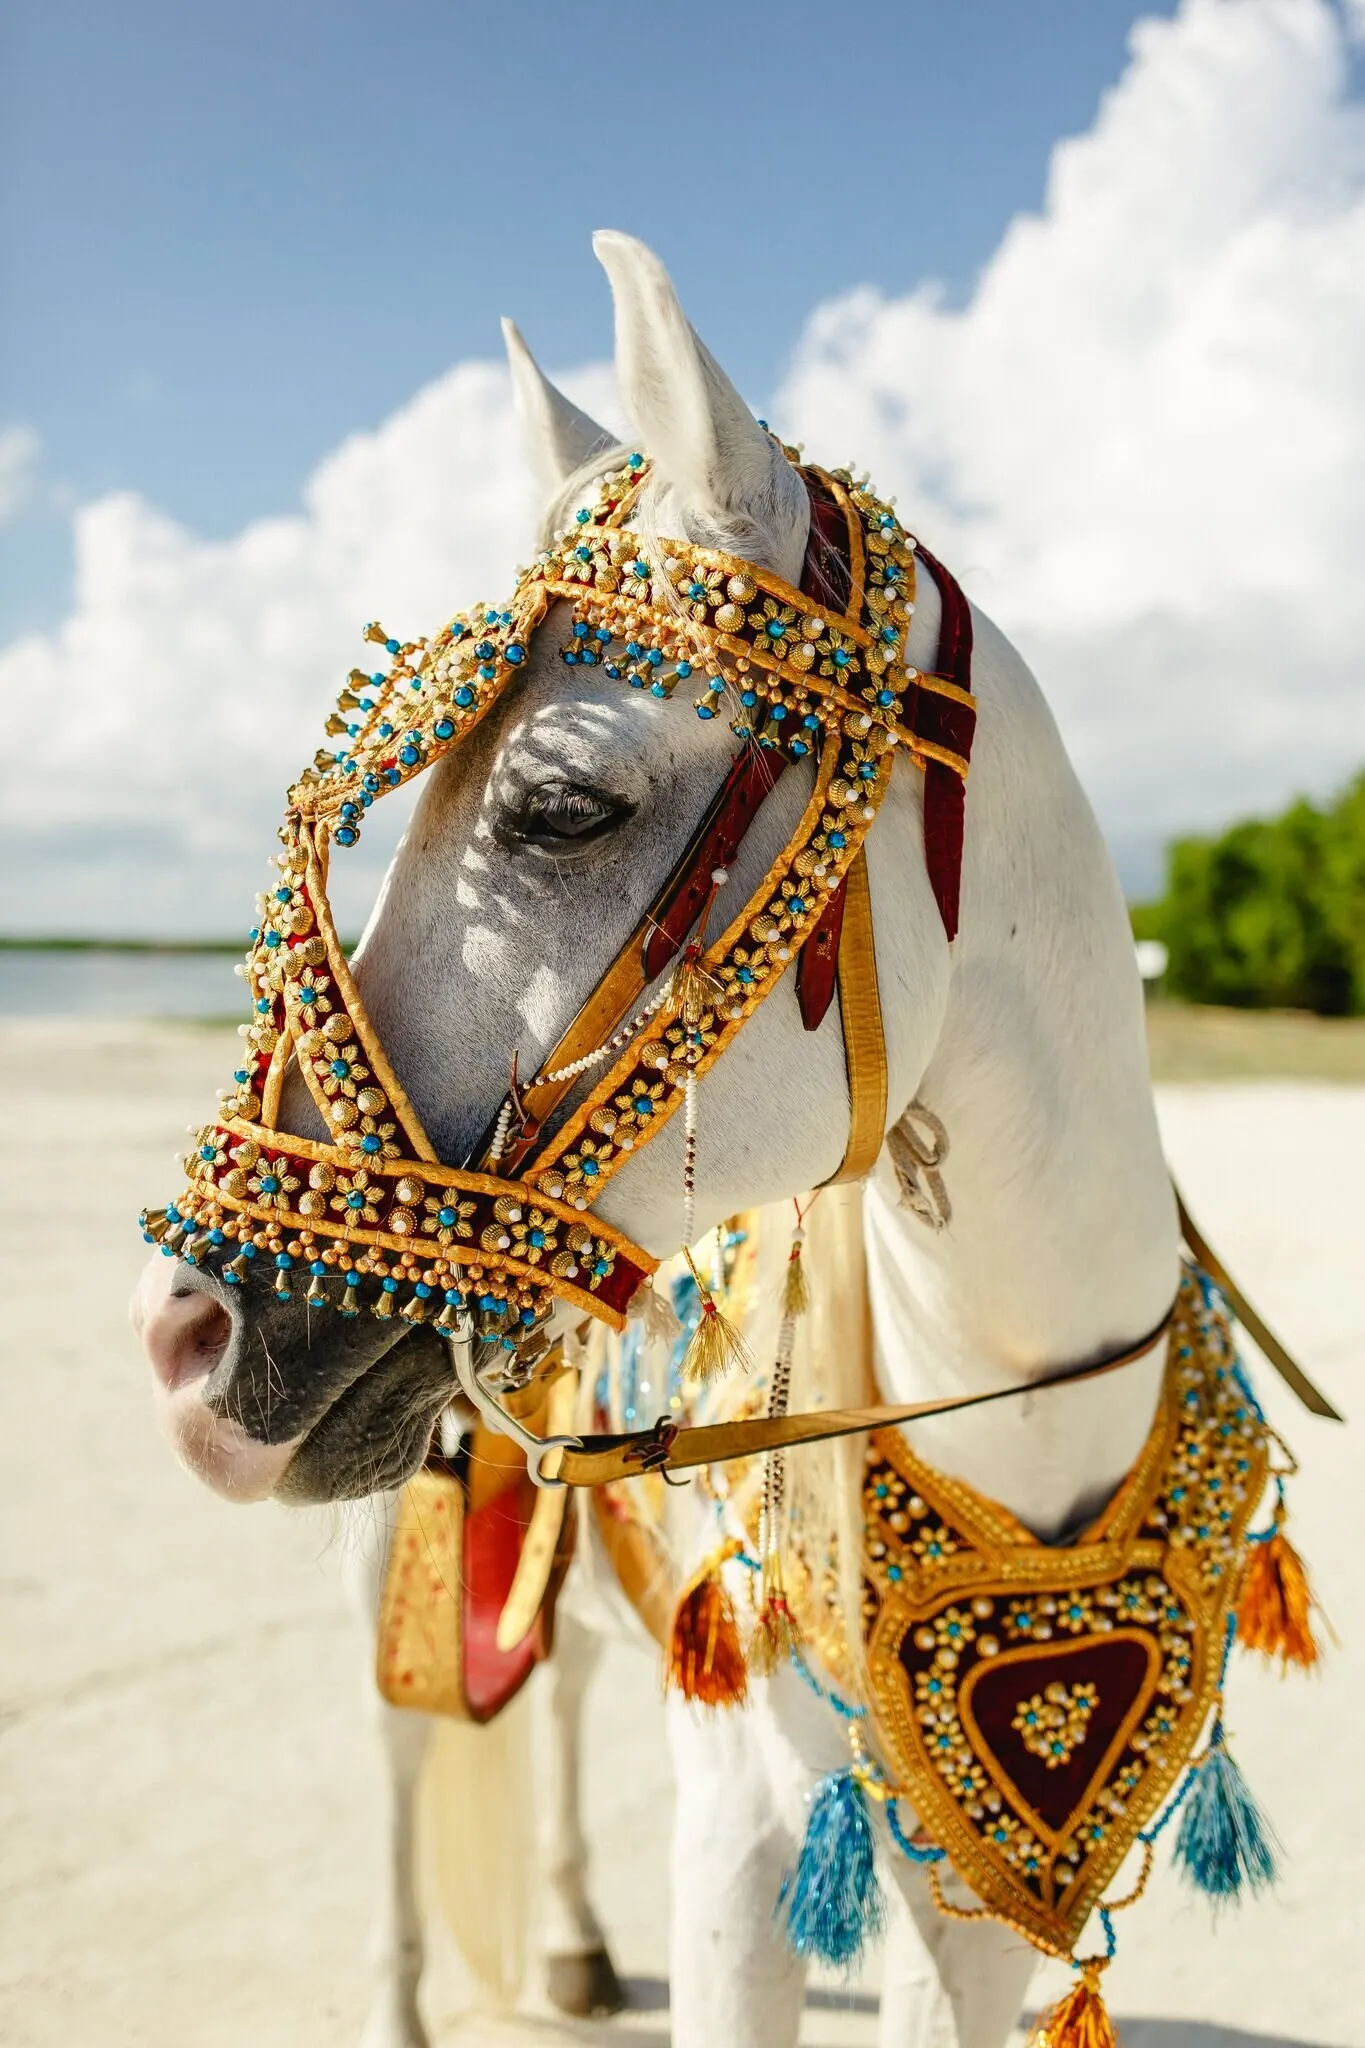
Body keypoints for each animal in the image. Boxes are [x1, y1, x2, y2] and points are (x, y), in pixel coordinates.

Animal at [132, 228, 1183, 2048]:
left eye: (561, 806)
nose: (184, 1334)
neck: (1017, 1414)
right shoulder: (744, 1845)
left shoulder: (971, 1904)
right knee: (406, 1756)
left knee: (553, 1689)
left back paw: (564, 1936)